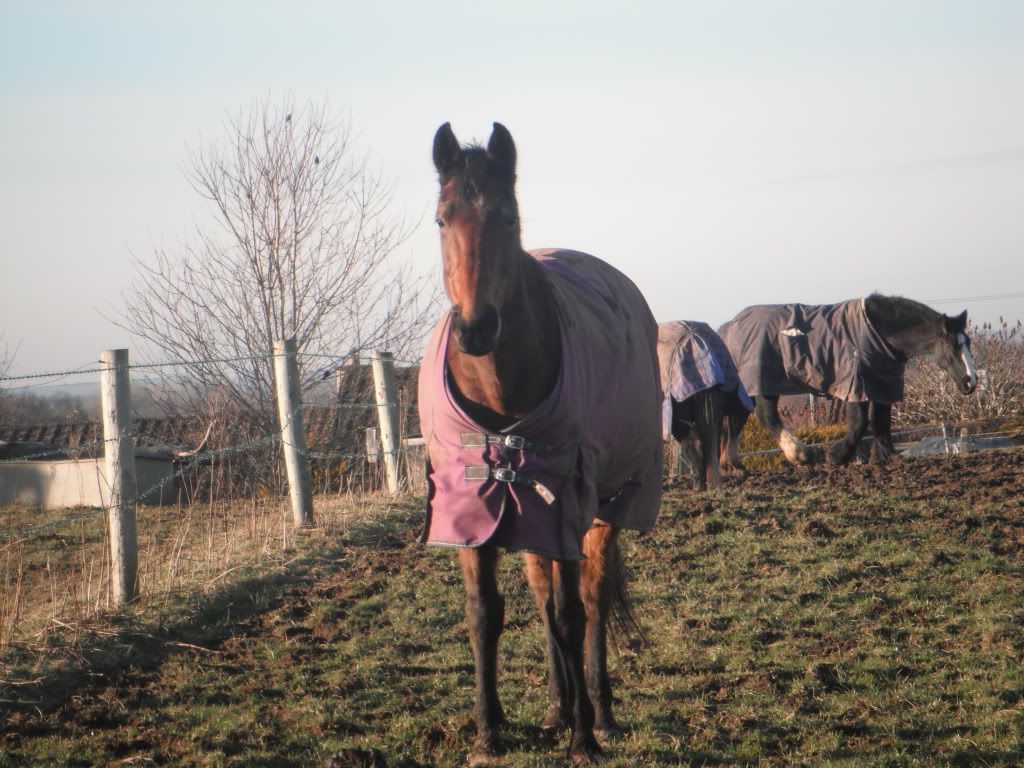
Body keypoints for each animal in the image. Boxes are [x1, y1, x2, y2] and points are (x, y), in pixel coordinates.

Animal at [418, 123, 663, 765]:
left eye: (507, 218)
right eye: (441, 219)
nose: (476, 328)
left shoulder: (568, 501)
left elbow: (572, 614)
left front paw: (584, 740)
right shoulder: (472, 507)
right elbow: (485, 615)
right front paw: (488, 734)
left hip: (603, 505)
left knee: (591, 600)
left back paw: (599, 714)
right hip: (528, 515)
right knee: (540, 595)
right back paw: (557, 708)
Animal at [718, 295, 978, 466]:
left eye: (968, 343)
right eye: (954, 346)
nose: (971, 381)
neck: (877, 332)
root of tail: (728, 327)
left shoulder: (882, 384)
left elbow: (881, 423)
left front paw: (886, 457)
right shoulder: (856, 385)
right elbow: (859, 424)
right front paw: (836, 456)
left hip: (747, 391)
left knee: (735, 422)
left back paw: (732, 464)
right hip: (763, 385)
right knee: (767, 417)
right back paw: (799, 454)